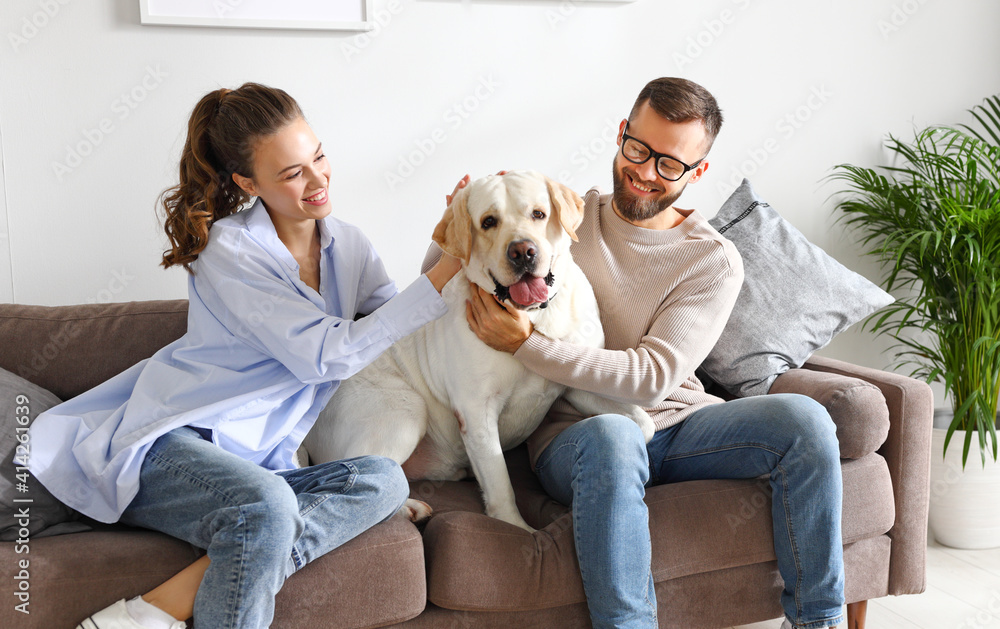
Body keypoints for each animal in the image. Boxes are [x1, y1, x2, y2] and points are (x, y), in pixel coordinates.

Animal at [300, 170, 652, 528]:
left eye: (538, 214)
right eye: (488, 222)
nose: (523, 251)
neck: (531, 318)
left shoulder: (577, 384)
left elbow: (644, 422)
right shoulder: (476, 410)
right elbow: (500, 480)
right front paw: (516, 526)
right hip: (405, 412)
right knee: (366, 477)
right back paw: (410, 508)